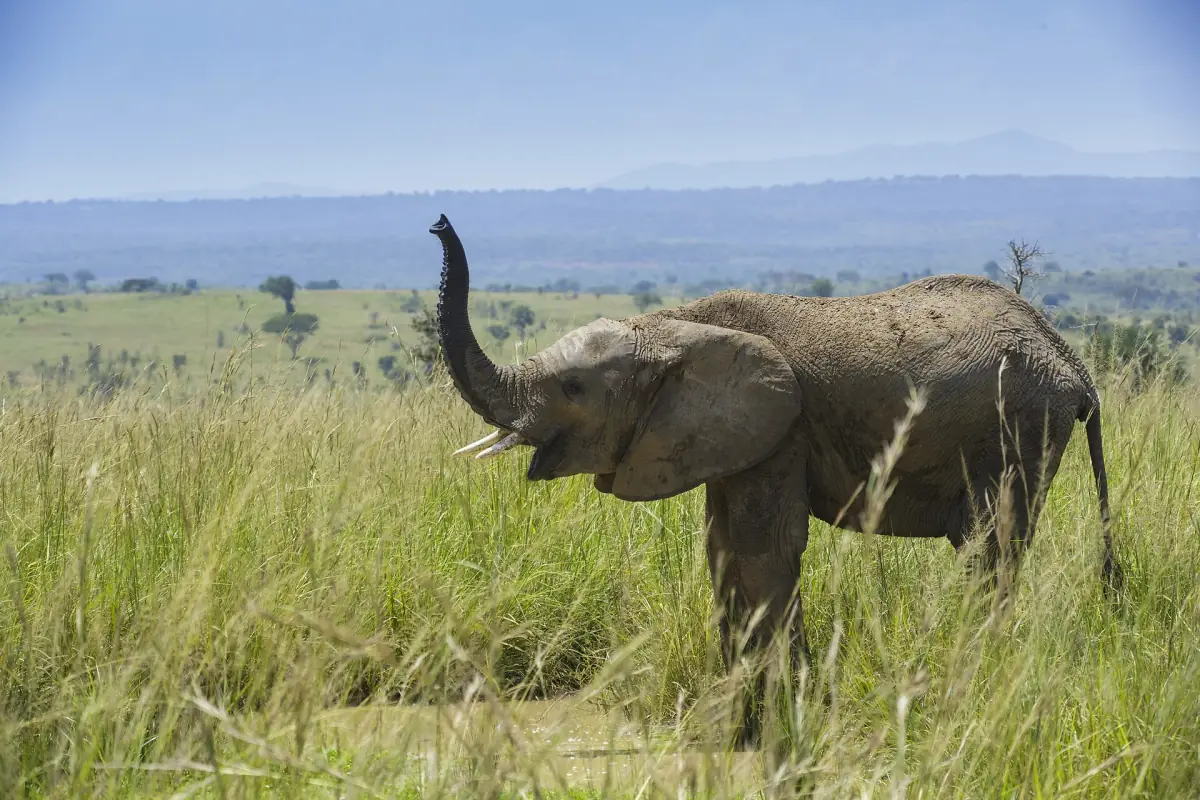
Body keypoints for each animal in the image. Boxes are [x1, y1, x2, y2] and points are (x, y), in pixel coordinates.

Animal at [428, 213, 1120, 744]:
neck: (680, 323)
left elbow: (765, 553)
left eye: (572, 388)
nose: (437, 223)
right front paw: (744, 722)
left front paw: (774, 722)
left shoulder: (783, 429)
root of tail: (1071, 362)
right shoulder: (728, 438)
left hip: (1019, 425)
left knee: (990, 549)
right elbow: (723, 551)